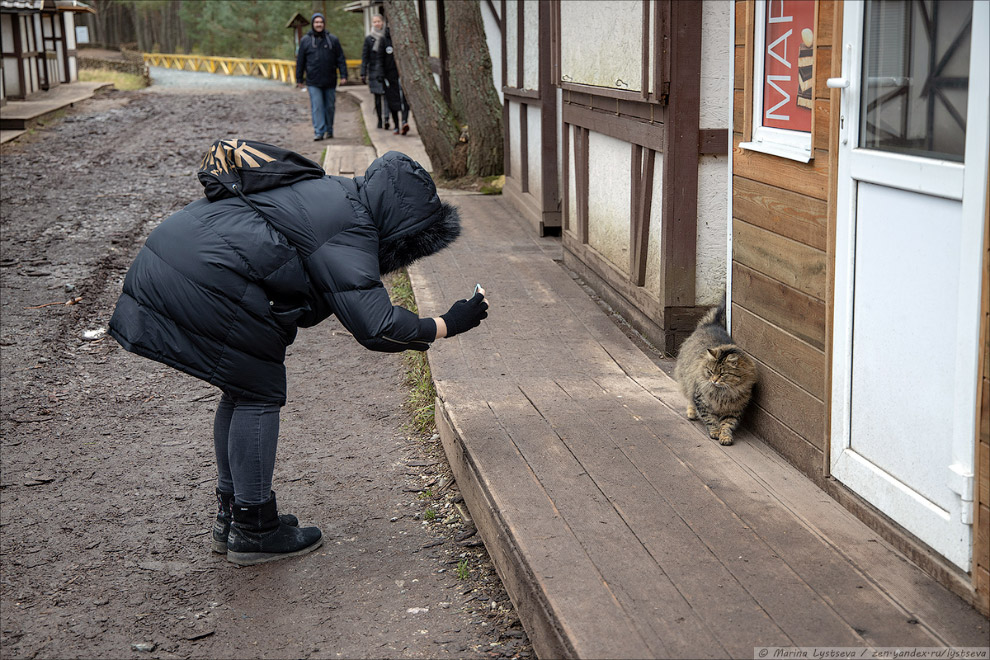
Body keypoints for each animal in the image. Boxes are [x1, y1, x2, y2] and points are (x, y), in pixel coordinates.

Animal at [676, 302, 760, 446]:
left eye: (722, 374)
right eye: (710, 372)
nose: (713, 381)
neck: (723, 393)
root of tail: (712, 324)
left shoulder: (734, 408)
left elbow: (727, 424)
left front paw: (725, 436)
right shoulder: (702, 400)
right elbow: (710, 419)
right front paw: (715, 432)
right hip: (687, 379)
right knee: (689, 397)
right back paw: (691, 413)